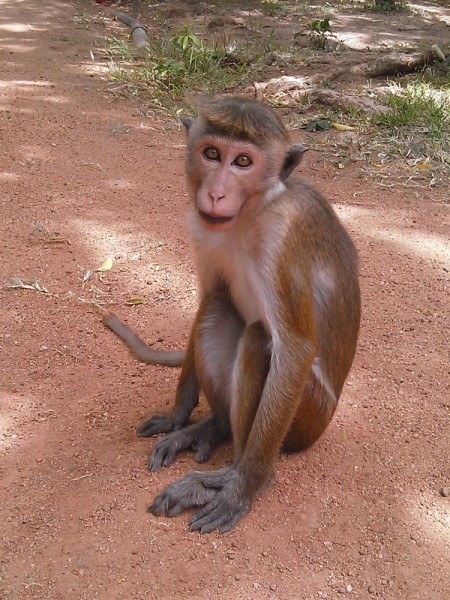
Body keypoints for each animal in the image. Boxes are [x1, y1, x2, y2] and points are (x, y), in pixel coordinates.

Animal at [103, 95, 362, 536]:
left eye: (243, 162)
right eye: (211, 154)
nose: (217, 194)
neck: (252, 212)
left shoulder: (284, 239)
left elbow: (295, 348)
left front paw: (242, 488)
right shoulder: (199, 225)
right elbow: (208, 296)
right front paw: (177, 415)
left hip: (307, 418)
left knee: (259, 338)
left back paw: (237, 475)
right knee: (215, 309)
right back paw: (214, 426)